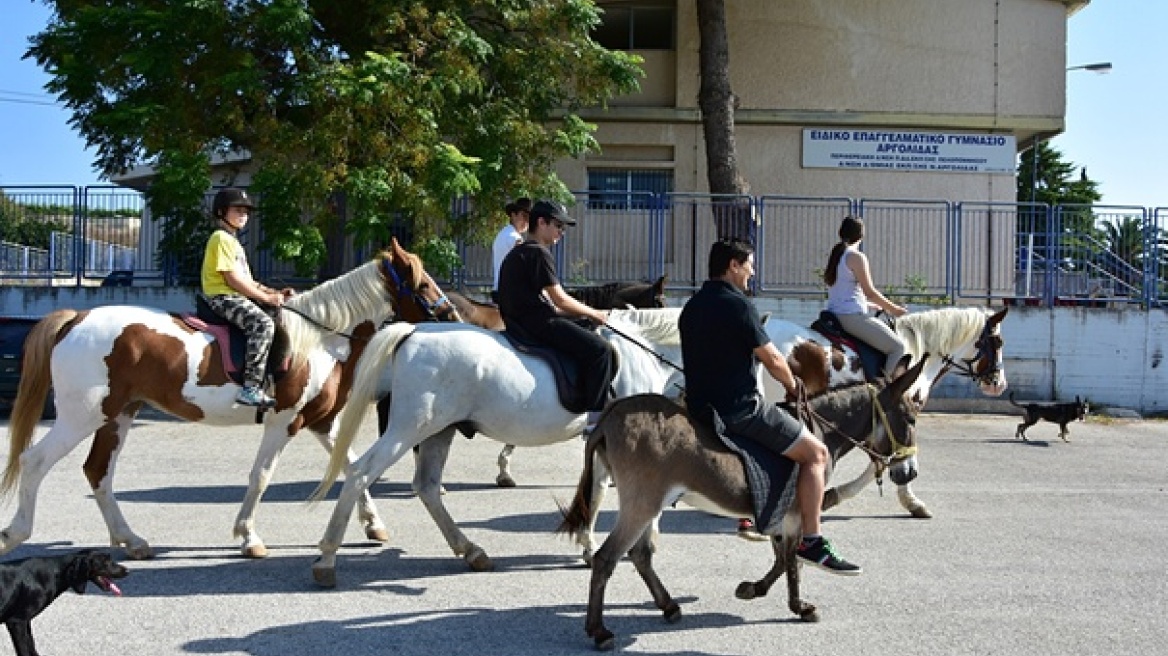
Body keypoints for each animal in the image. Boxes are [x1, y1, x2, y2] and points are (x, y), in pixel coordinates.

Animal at [0, 546, 128, 653]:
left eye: (110, 558)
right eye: (105, 562)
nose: (127, 571)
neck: (54, 571)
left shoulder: (25, 622)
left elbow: (32, 646)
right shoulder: (17, 622)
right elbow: (25, 650)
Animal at [1, 239, 460, 555]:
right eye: (421, 282)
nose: (452, 314)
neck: (321, 340)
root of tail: (75, 318)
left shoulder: (318, 422)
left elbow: (349, 466)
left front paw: (373, 525)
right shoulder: (283, 421)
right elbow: (261, 476)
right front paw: (248, 537)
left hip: (117, 415)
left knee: (98, 472)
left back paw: (130, 540)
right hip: (82, 416)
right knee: (35, 461)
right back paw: (16, 534)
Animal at [310, 308, 682, 588]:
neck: (645, 353)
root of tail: (413, 332)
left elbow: (597, 491)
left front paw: (596, 545)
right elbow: (609, 492)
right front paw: (612, 545)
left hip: (438, 431)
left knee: (426, 486)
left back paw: (471, 551)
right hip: (409, 428)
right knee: (361, 473)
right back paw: (327, 557)